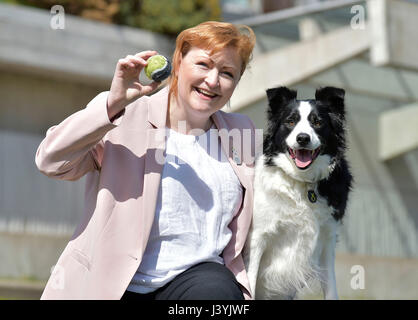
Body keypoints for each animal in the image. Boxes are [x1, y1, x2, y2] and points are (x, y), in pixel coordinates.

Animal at [245, 85, 352, 300]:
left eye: (318, 122)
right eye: (290, 121)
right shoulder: (257, 237)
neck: (303, 182)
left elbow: (331, 289)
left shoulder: (327, 240)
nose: (302, 138)